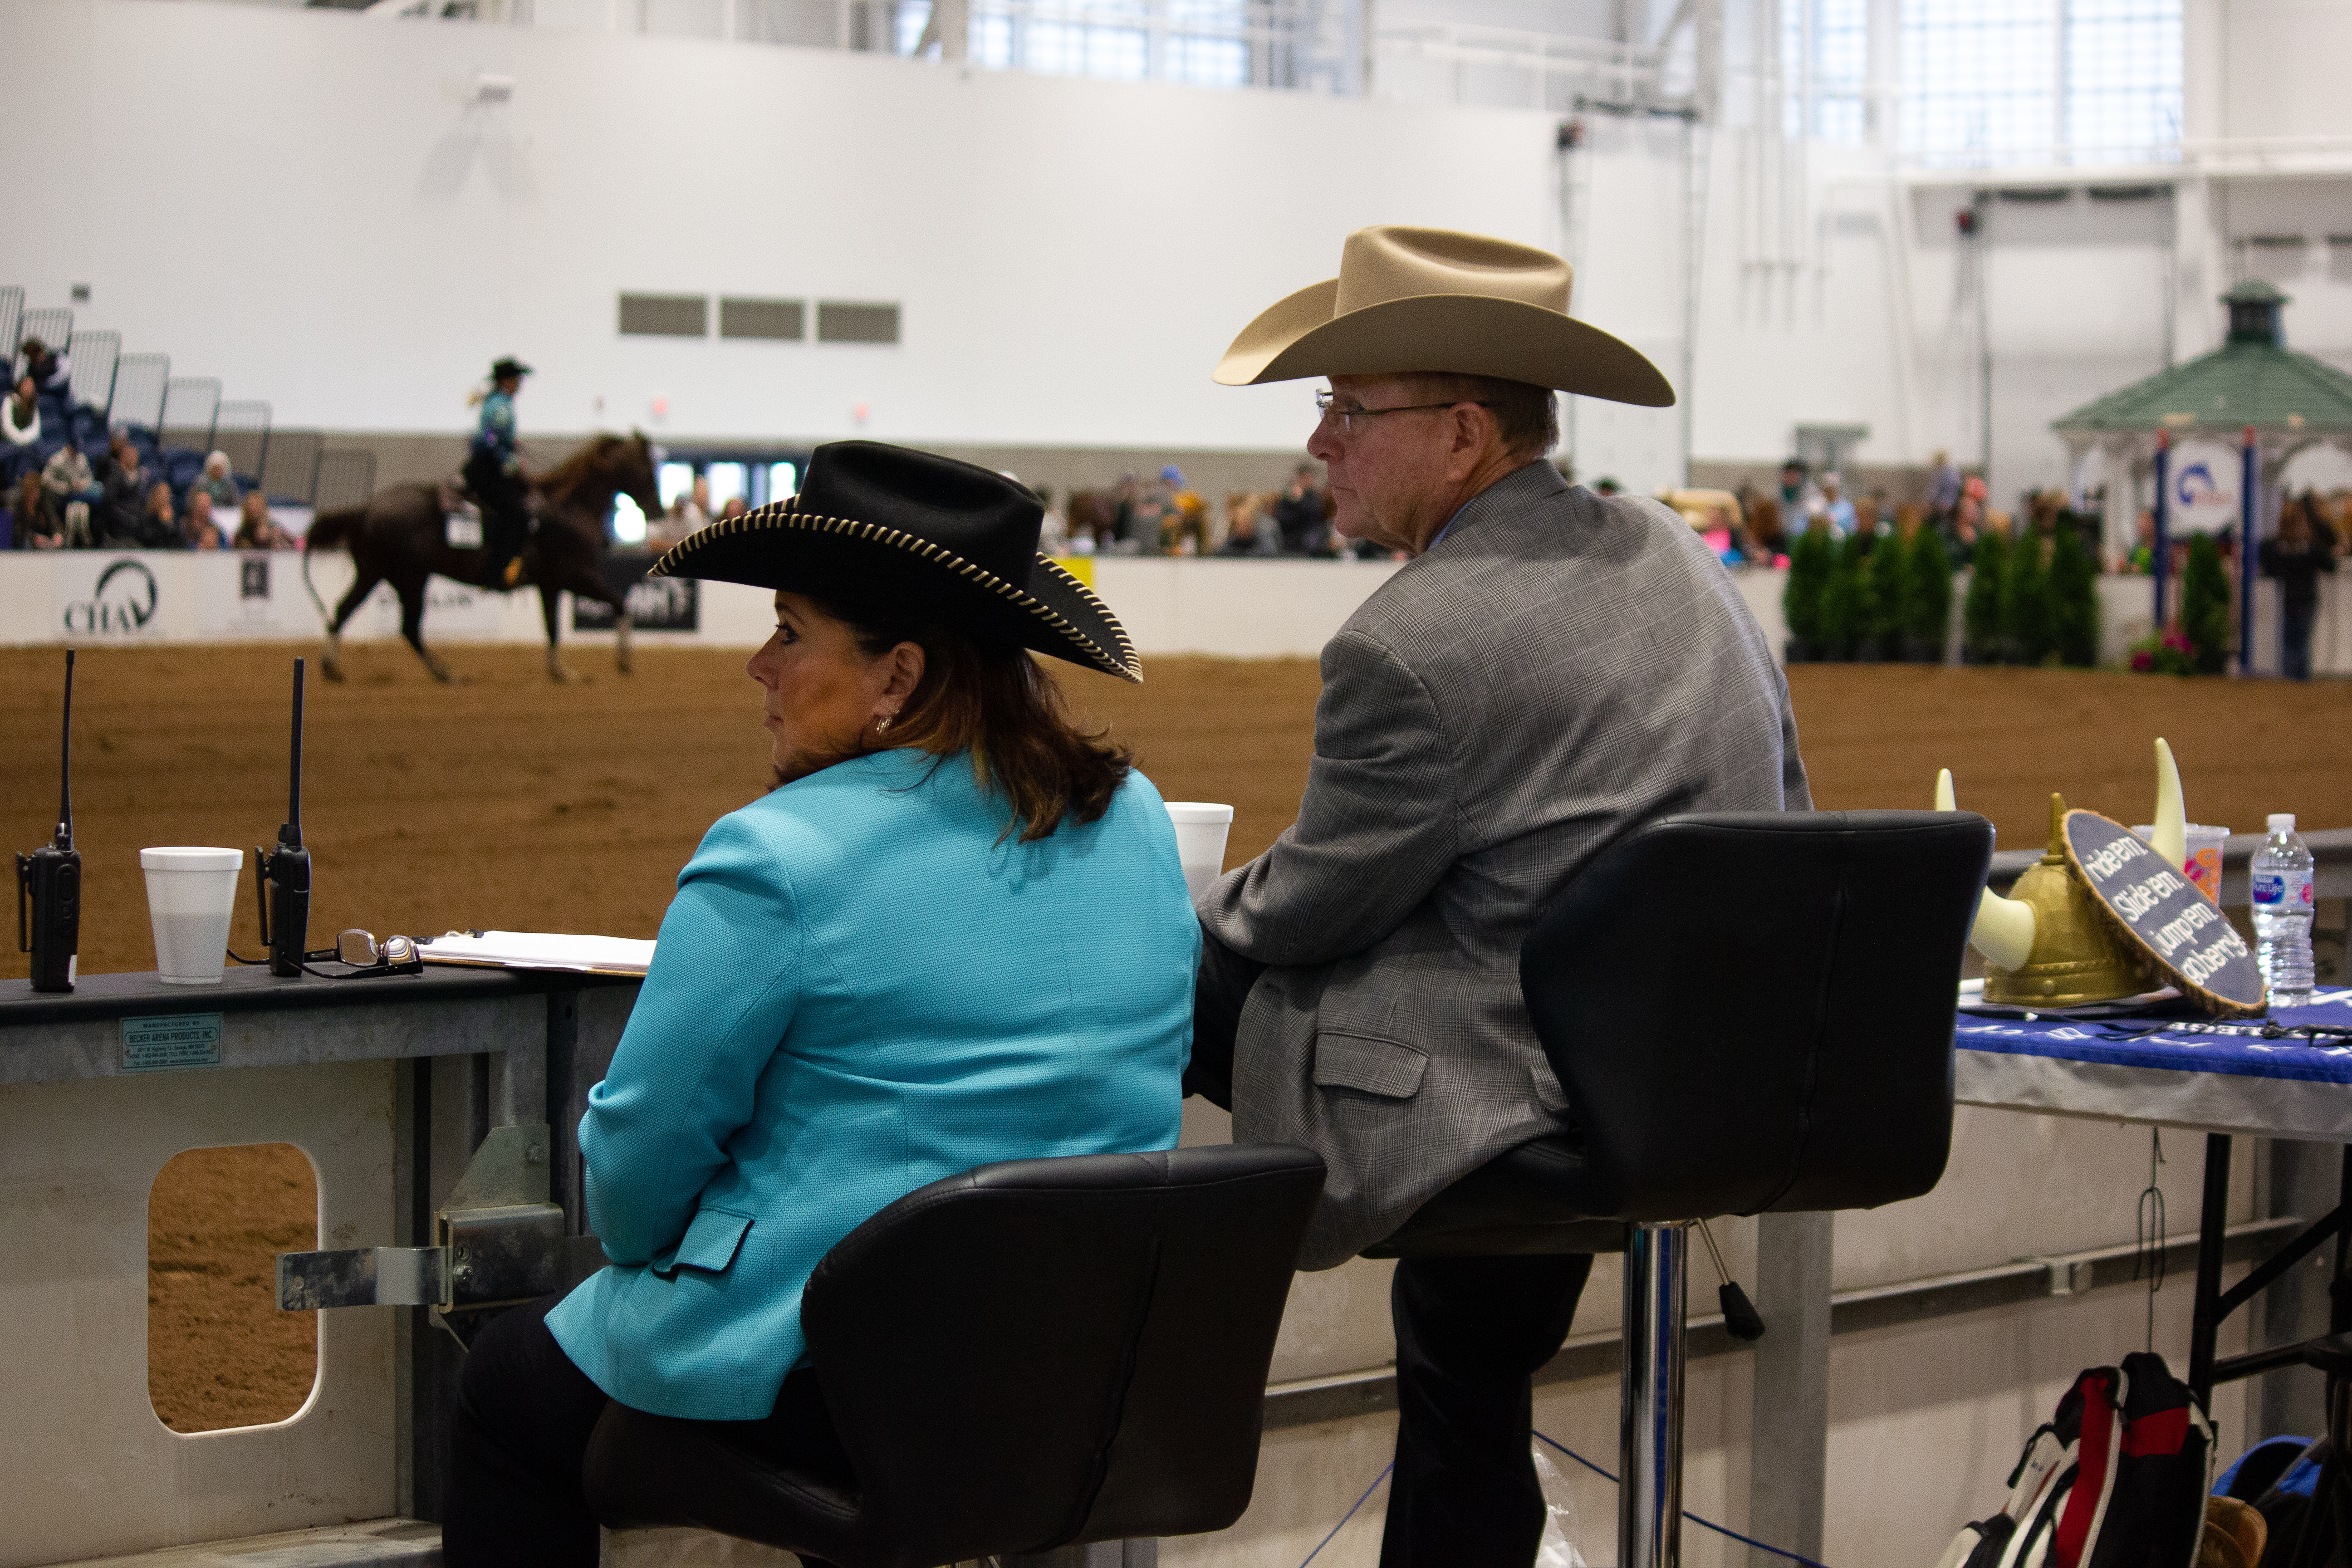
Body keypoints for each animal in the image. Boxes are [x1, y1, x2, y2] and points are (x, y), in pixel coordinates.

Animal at [303, 432, 668, 681]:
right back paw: (446, 674)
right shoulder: (574, 576)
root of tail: (368, 507)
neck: (570, 509)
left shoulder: (550, 585)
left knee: (344, 611)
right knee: (408, 627)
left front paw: (560, 673)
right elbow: (620, 603)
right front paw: (624, 662)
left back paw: (332, 668)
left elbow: (552, 627)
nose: (659, 511)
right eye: (647, 470)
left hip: (375, 572)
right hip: (410, 578)